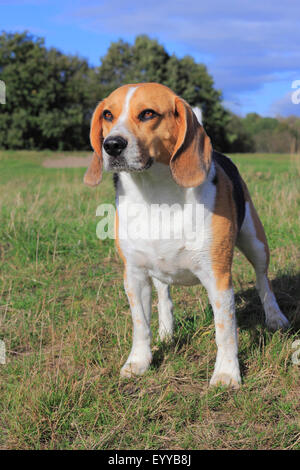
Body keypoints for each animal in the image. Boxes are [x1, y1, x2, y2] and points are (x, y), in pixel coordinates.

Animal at [83, 82, 290, 388]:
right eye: (108, 114)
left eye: (148, 113)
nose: (112, 145)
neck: (157, 195)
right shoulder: (134, 275)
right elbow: (140, 324)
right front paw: (139, 362)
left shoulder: (218, 276)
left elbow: (224, 329)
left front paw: (226, 374)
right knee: (164, 296)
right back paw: (167, 332)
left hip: (256, 242)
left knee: (263, 281)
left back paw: (275, 317)